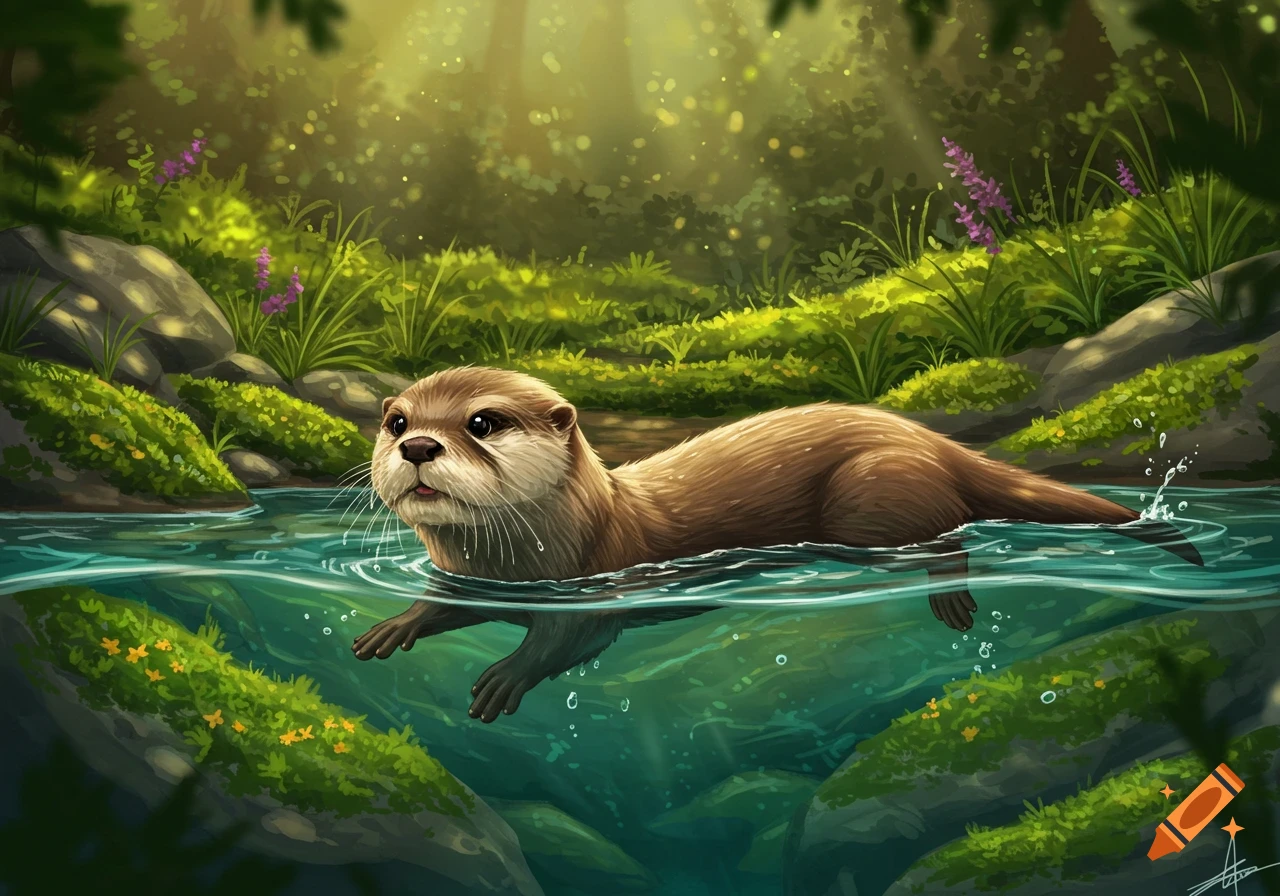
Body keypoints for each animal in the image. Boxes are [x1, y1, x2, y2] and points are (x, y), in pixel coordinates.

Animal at [352, 366, 1203, 722]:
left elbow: (567, 642)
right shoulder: (477, 578)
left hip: (874, 496)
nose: (418, 446)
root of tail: (927, 439)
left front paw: (506, 675)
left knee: (943, 536)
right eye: (396, 420)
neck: (526, 560)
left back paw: (952, 601)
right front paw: (394, 626)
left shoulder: (595, 585)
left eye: (483, 421)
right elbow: (441, 603)